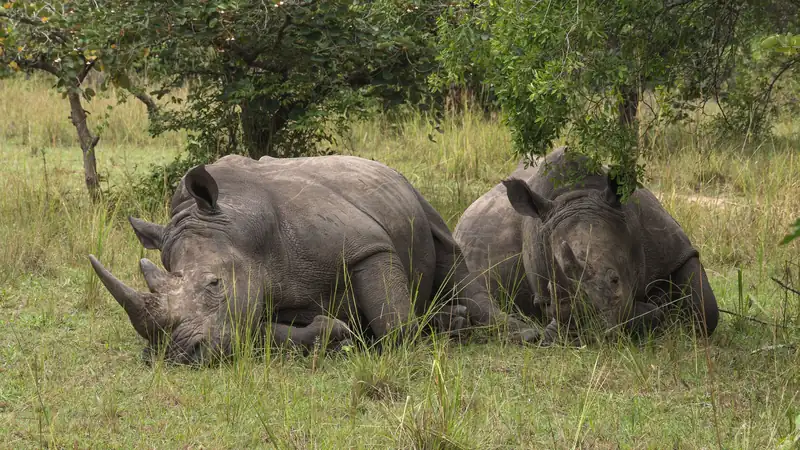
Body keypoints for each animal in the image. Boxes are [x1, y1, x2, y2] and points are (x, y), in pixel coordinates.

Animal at [89, 154, 538, 365]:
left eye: (214, 284)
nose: (174, 354)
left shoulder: (367, 245)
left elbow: (396, 327)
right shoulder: (251, 301)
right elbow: (258, 335)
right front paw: (336, 335)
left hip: (416, 197)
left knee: (452, 258)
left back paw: (505, 331)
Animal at [453, 147, 719, 343]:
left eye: (615, 280)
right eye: (550, 297)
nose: (588, 333)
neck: (579, 194)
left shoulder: (673, 248)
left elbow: (706, 310)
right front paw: (654, 308)